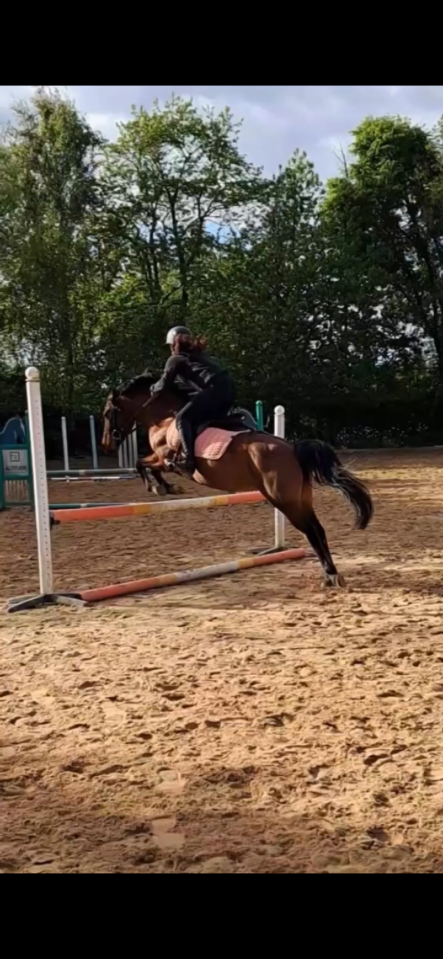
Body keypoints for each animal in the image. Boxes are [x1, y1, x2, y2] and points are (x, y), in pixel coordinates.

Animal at [101, 374, 373, 587]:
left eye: (107, 413)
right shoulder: (159, 458)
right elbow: (143, 463)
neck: (165, 417)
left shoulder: (163, 457)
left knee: (311, 531)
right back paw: (331, 574)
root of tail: (293, 448)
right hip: (300, 498)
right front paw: (164, 486)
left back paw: (331, 575)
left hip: (285, 501)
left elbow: (142, 463)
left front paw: (160, 487)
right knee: (318, 529)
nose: (107, 445)